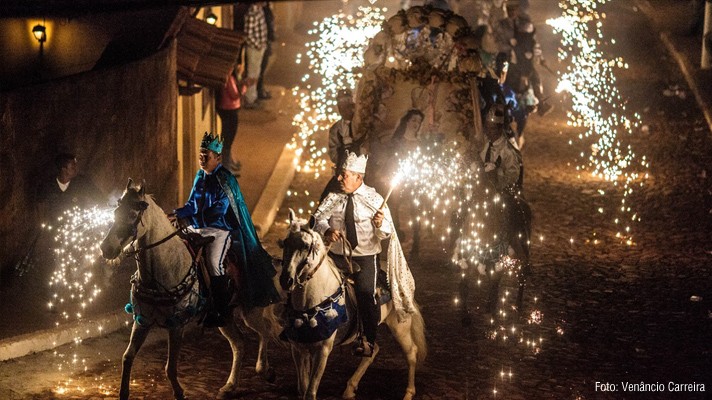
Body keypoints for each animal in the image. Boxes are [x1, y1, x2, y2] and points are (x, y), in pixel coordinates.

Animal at [100, 180, 280, 400]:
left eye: (133, 215)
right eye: (116, 212)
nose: (106, 248)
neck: (165, 268)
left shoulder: (176, 324)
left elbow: (170, 367)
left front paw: (179, 392)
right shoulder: (142, 321)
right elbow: (127, 357)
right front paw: (123, 392)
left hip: (250, 311)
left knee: (265, 332)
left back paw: (265, 370)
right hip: (224, 317)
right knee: (239, 344)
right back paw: (229, 386)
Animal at [278, 211, 426, 398]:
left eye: (305, 245)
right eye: (285, 243)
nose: (286, 280)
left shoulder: (323, 350)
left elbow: (310, 392)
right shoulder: (298, 349)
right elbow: (302, 390)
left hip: (401, 327)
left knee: (411, 353)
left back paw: (408, 393)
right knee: (373, 350)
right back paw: (350, 388)